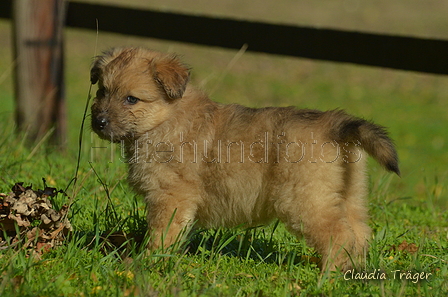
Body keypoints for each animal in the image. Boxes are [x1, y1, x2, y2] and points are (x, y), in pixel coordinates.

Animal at [90, 46, 400, 270]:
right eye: (102, 91)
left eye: (131, 99)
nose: (99, 122)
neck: (165, 119)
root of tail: (334, 124)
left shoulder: (170, 198)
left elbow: (160, 234)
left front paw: (145, 262)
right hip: (350, 196)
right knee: (359, 233)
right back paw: (354, 272)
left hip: (303, 201)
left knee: (338, 235)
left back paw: (329, 274)